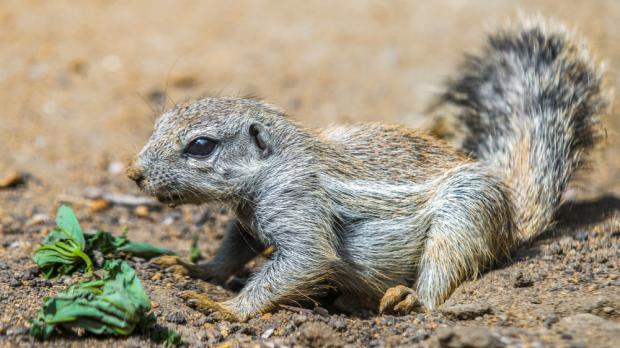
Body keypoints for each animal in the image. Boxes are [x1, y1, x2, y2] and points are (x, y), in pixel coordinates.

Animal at [127, 19, 612, 320]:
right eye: (159, 123)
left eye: (200, 146)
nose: (135, 173)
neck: (275, 167)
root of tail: (513, 220)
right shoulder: (246, 221)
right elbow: (231, 251)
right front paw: (195, 269)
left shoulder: (300, 204)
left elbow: (303, 261)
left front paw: (226, 308)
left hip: (466, 216)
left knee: (442, 277)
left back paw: (408, 299)